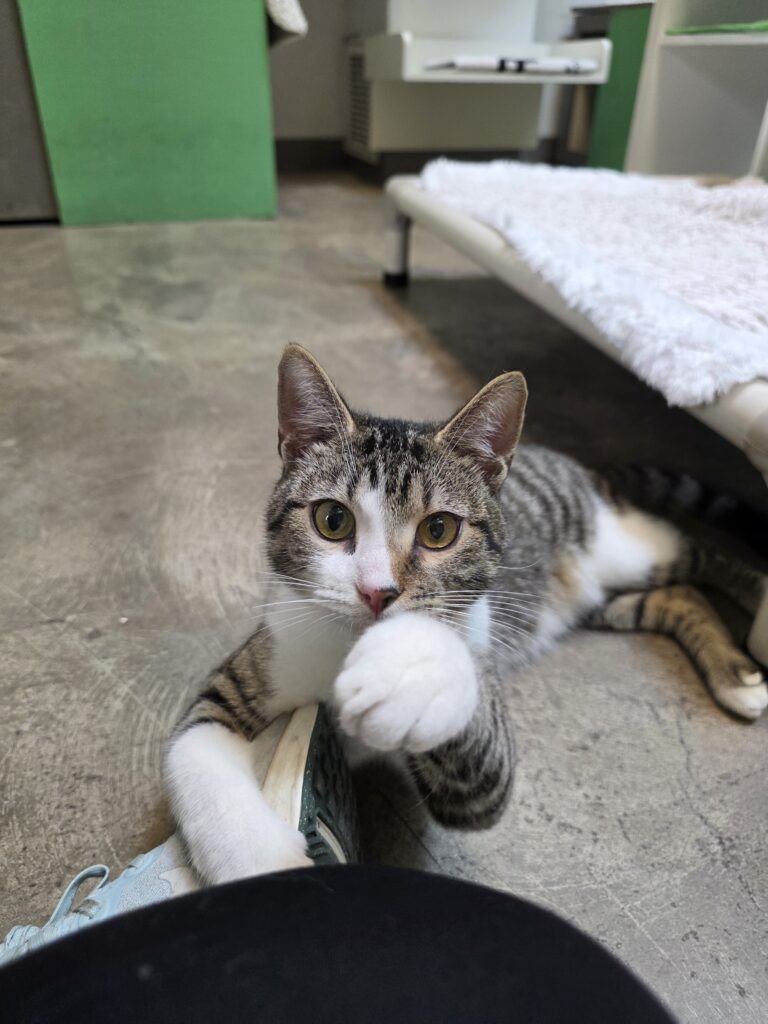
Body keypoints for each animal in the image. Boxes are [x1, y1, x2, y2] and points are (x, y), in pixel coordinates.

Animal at [165, 344, 767, 884]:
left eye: (439, 530)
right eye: (332, 520)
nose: (377, 592)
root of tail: (582, 468)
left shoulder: (479, 771)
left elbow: (474, 734)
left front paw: (413, 672)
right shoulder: (257, 663)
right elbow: (193, 749)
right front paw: (262, 863)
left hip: (622, 546)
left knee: (700, 555)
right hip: (597, 596)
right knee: (676, 595)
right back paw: (733, 672)